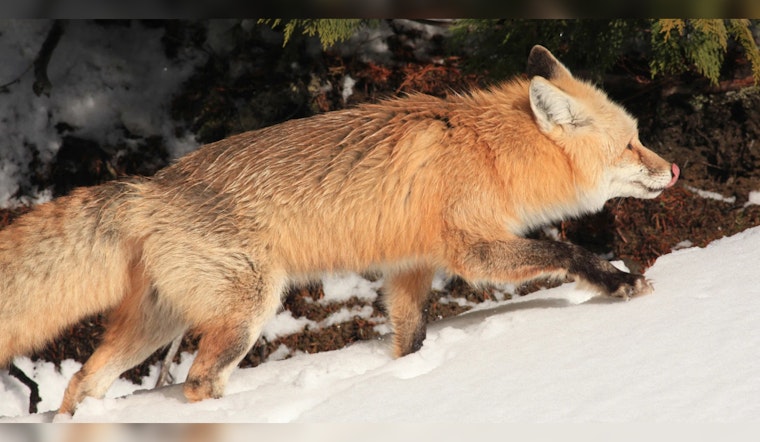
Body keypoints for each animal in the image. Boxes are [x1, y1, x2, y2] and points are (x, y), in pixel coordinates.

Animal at [0, 45, 678, 415]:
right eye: (630, 144)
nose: (673, 169)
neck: (488, 151)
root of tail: (151, 185)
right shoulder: (474, 251)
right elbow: (564, 248)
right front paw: (617, 281)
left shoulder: (410, 267)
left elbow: (411, 338)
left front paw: (407, 379)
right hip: (247, 309)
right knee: (197, 383)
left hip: (157, 322)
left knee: (84, 381)